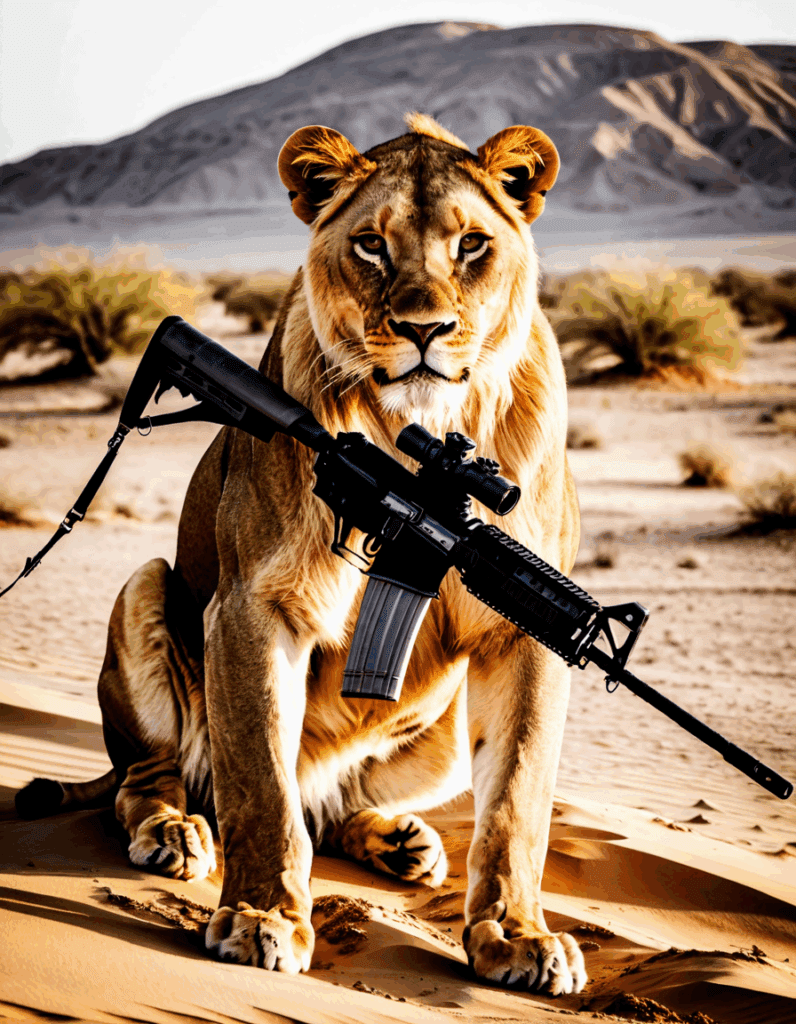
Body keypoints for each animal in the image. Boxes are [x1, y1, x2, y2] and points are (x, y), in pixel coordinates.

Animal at [16, 114, 586, 995]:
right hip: (144, 589)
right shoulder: (254, 605)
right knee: (155, 782)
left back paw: (401, 841)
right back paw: (175, 832)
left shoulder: (520, 638)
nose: (425, 331)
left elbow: (519, 798)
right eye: (371, 246)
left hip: (442, 732)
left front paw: (518, 936)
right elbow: (262, 784)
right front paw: (262, 918)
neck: (417, 429)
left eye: (472, 245)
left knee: (331, 803)